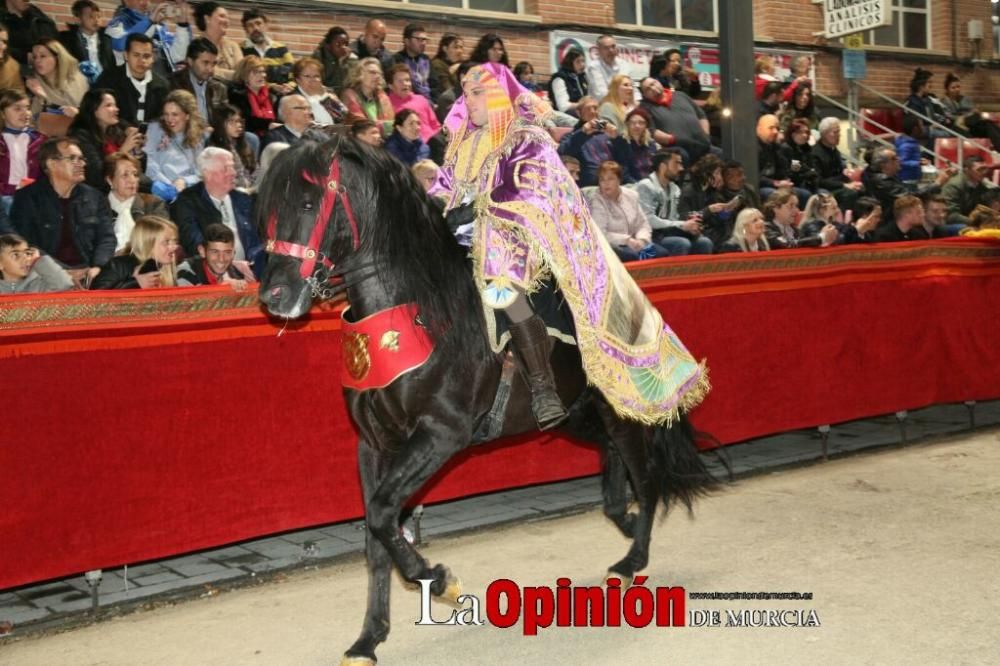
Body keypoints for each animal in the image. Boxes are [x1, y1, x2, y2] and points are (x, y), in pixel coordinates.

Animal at [256, 136, 712, 664]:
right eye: (270, 208)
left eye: (309, 203)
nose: (275, 295)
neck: (416, 312)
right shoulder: (374, 444)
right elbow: (375, 532)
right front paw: (369, 637)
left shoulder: (441, 434)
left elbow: (385, 513)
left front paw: (440, 581)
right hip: (576, 414)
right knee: (614, 460)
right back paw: (624, 520)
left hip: (614, 406)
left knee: (645, 469)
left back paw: (633, 557)